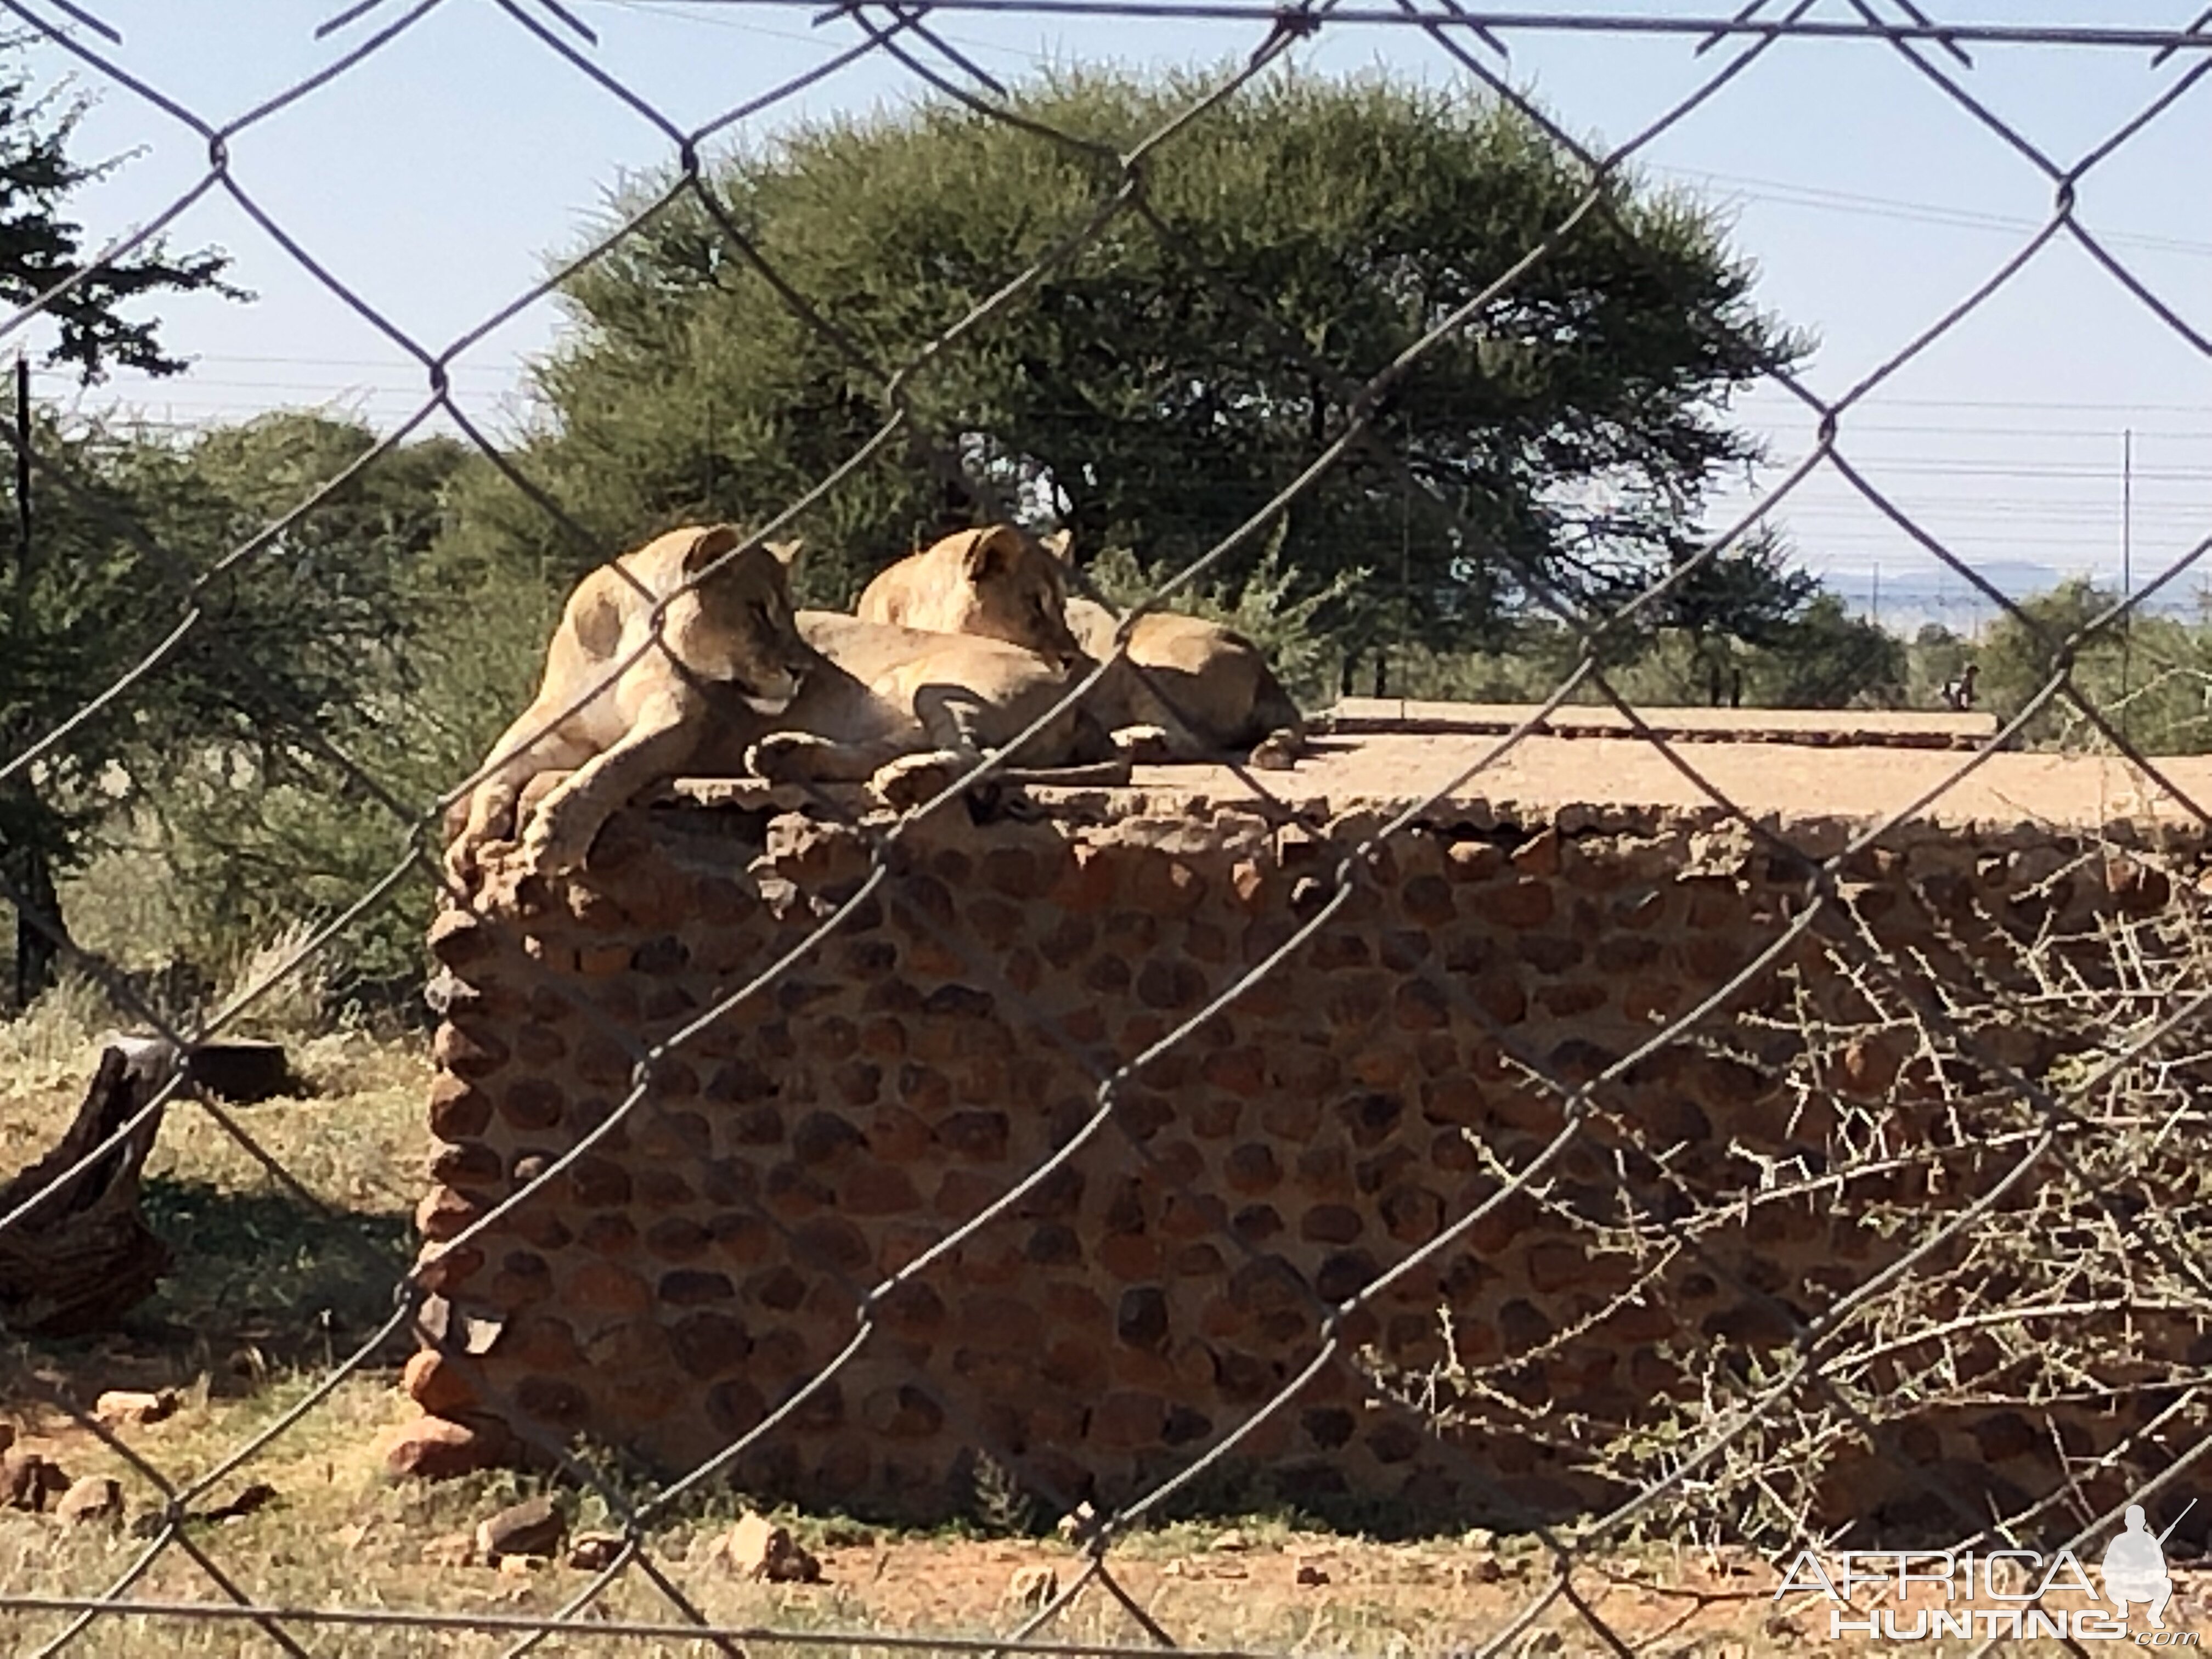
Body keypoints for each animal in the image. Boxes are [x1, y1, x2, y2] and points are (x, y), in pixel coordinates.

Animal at [442, 528, 1124, 884]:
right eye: (758, 610)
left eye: (790, 613)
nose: (802, 670)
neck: (626, 632)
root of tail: (1072, 688)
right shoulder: (548, 732)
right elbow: (494, 776)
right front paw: (469, 841)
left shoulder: (678, 719)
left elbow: (616, 764)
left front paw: (556, 831)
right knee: (892, 749)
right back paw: (786, 755)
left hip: (933, 684)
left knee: (976, 758)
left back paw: (907, 777)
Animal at [845, 526, 1291, 774]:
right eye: (1035, 603)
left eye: (1062, 604)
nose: (1075, 660)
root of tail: (1263, 669)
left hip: (1150, 666)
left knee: (1192, 740)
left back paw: (1138, 742)